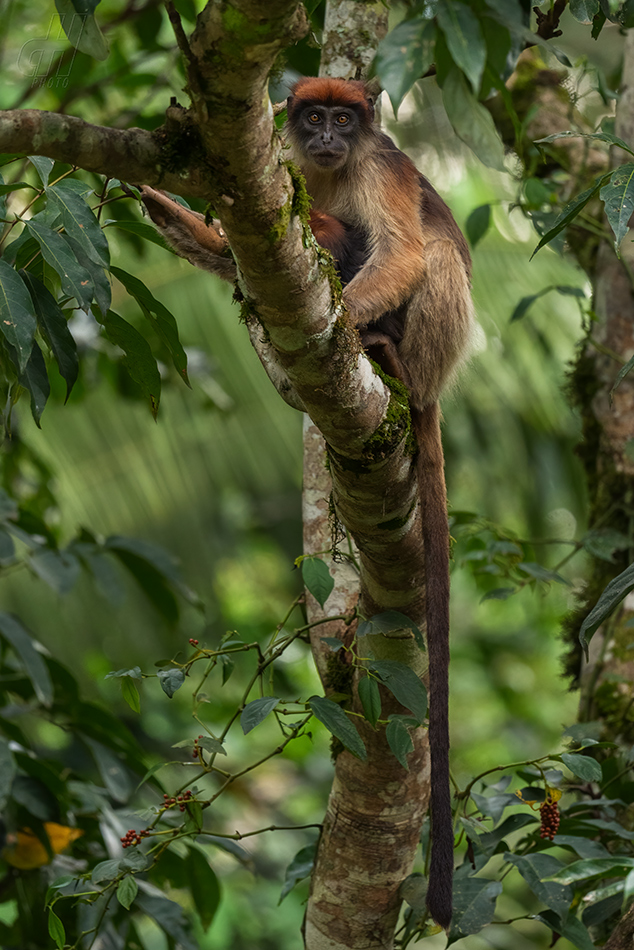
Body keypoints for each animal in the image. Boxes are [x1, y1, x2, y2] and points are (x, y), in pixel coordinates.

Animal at [139, 76, 474, 928]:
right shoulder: (278, 186)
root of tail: (430, 388)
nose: (325, 135)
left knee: (429, 258)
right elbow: (252, 237)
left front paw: (348, 321)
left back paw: (381, 352)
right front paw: (169, 212)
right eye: (313, 119)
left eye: (345, 122)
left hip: (435, 347)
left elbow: (403, 251)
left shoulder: (380, 168)